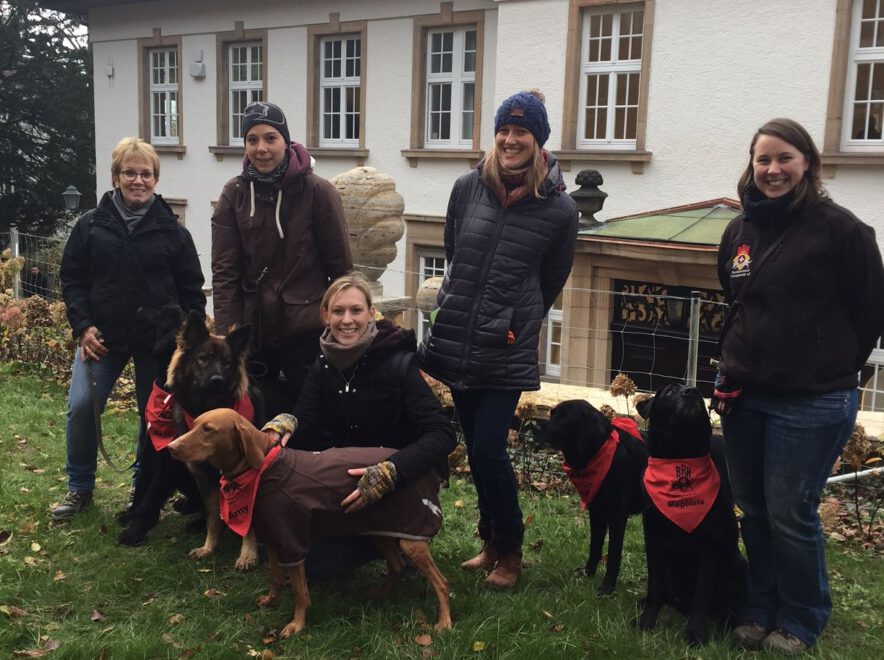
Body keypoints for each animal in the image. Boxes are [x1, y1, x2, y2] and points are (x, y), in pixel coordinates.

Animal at [121, 310, 266, 568]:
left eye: (227, 362)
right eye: (203, 358)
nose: (217, 380)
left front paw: (247, 555)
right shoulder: (168, 461)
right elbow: (146, 489)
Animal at [168, 410, 452, 636]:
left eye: (208, 429)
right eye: (194, 424)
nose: (170, 447)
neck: (263, 470)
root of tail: (430, 472)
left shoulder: (292, 545)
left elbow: (300, 593)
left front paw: (297, 625)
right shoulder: (274, 540)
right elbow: (275, 579)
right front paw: (270, 600)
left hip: (411, 540)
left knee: (441, 582)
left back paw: (444, 623)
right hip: (380, 531)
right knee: (396, 566)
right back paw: (380, 596)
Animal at [544, 400, 644, 596]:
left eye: (566, 418)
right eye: (552, 414)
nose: (537, 427)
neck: (601, 450)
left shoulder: (617, 515)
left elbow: (613, 554)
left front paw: (607, 587)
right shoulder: (597, 510)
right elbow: (595, 545)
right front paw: (587, 572)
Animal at [636, 384, 744, 648]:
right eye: (668, 393)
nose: (692, 391)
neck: (680, 457)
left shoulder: (709, 547)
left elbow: (701, 594)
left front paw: (696, 632)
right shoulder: (653, 541)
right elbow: (654, 588)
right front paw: (647, 620)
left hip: (739, 569)